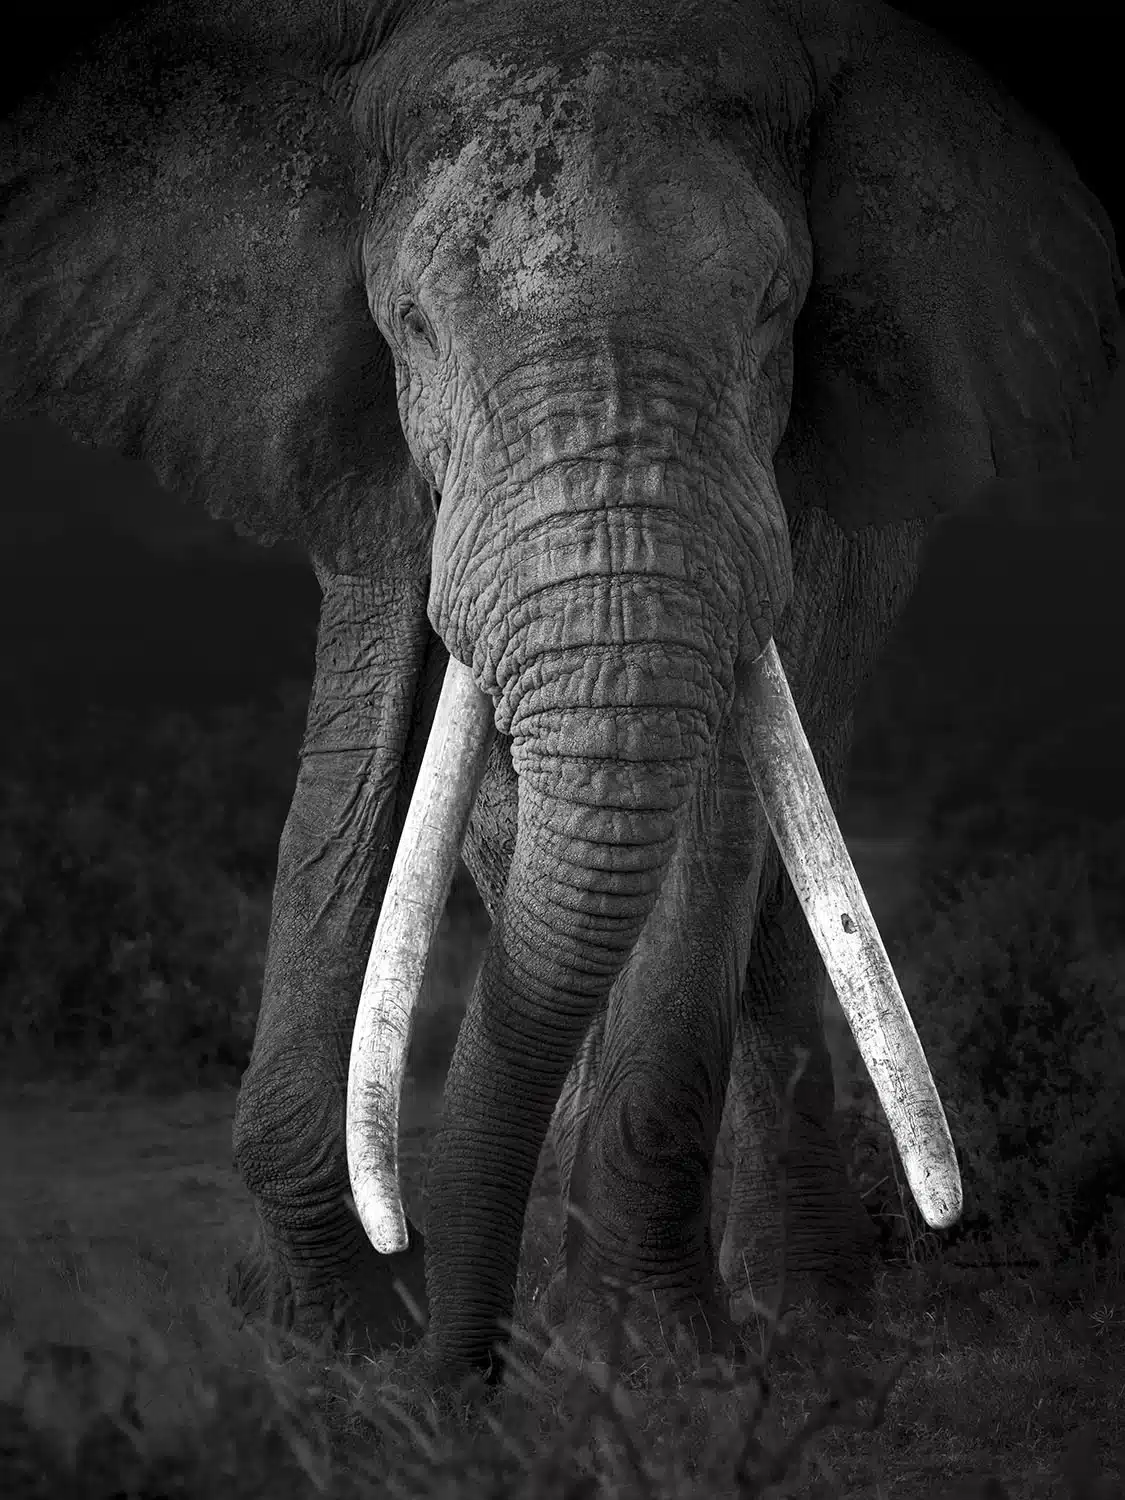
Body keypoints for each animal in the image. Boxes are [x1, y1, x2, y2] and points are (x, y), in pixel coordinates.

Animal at [2, 0, 1120, 1383]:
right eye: (410, 324)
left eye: (775, 309)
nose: (458, 1374)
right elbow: (357, 761)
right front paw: (340, 1336)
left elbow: (715, 827)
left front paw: (653, 1364)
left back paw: (801, 1312)